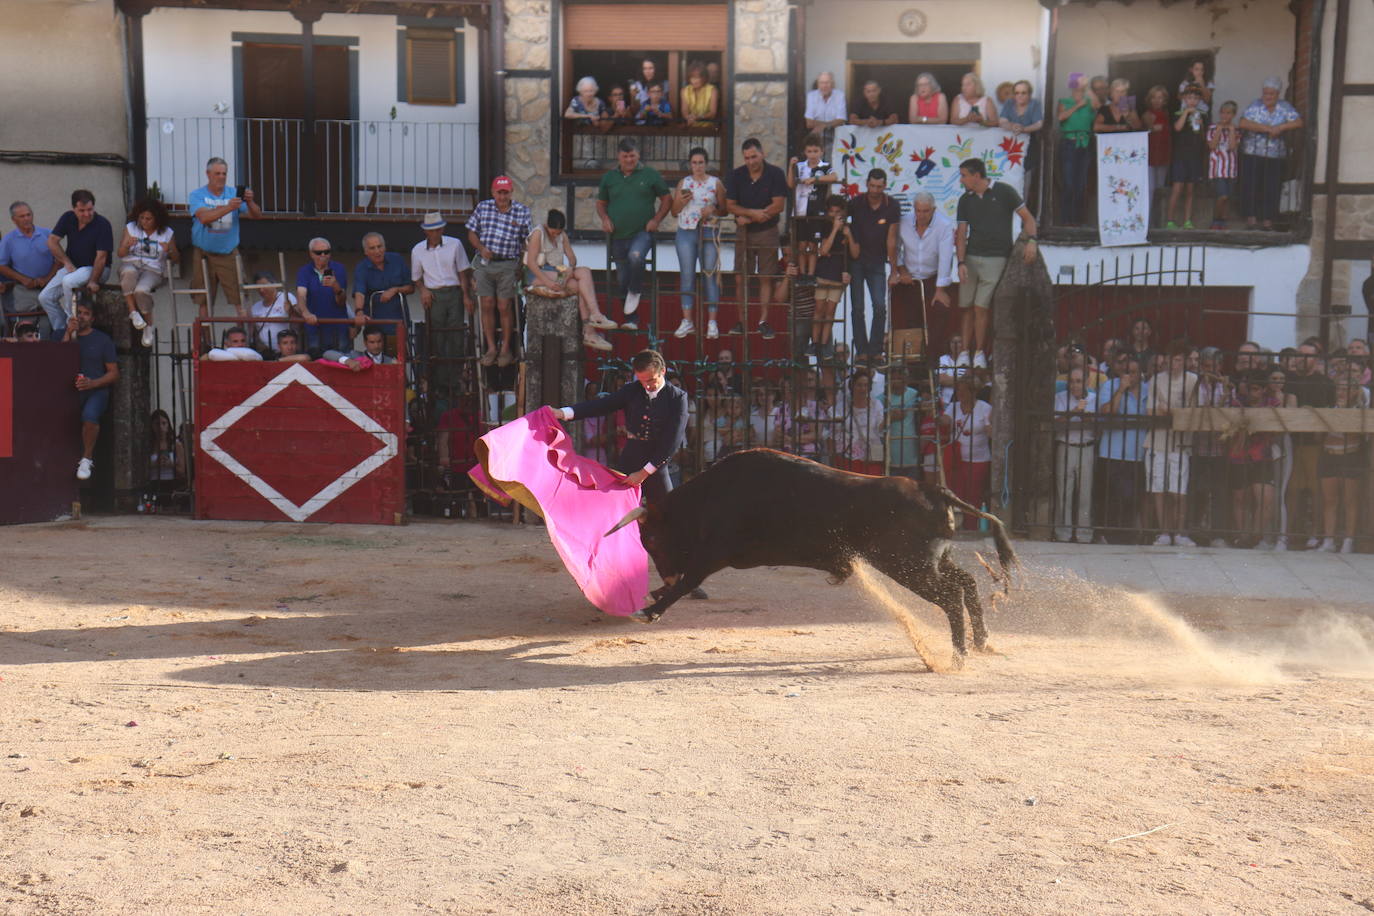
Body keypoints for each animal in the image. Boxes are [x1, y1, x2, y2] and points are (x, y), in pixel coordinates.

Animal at [604, 450, 1022, 659]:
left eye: (651, 539)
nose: (664, 577)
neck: (709, 495)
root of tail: (934, 490)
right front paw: (654, 598)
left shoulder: (713, 554)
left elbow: (689, 580)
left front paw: (649, 610)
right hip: (930, 562)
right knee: (966, 584)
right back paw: (982, 642)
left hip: (909, 566)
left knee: (951, 595)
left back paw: (958, 655)